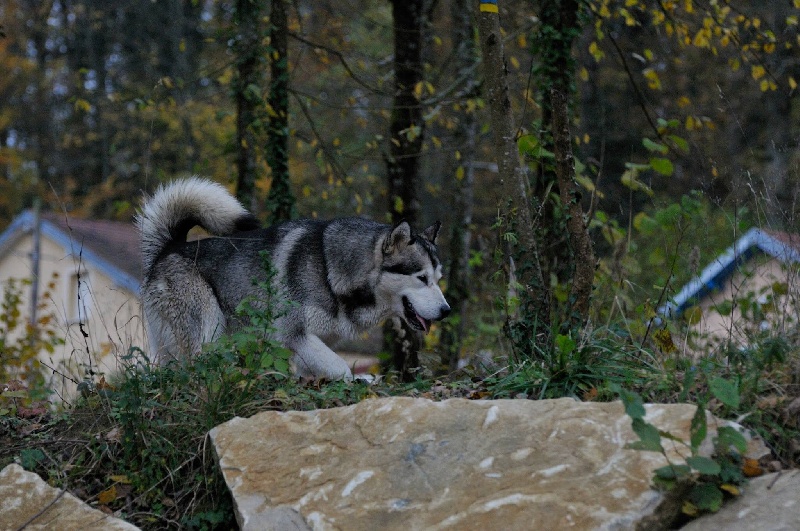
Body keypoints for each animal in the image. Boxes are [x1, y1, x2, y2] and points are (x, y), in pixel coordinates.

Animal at [138, 178, 450, 378]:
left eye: (438, 278)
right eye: (421, 278)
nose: (446, 311)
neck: (331, 271)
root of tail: (169, 248)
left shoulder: (314, 345)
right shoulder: (293, 335)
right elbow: (343, 370)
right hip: (207, 329)